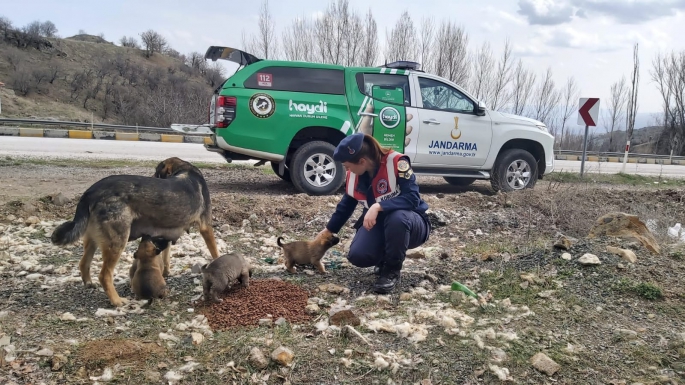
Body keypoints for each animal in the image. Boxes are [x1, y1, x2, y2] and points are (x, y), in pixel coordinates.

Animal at [52, 156, 218, 306]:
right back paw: (116, 301)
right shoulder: (206, 227)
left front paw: (166, 272)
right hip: (117, 241)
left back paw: (88, 283)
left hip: (92, 238)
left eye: (157, 173)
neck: (185, 169)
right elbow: (215, 253)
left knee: (83, 263)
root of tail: (91, 191)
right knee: (104, 275)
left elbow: (166, 255)